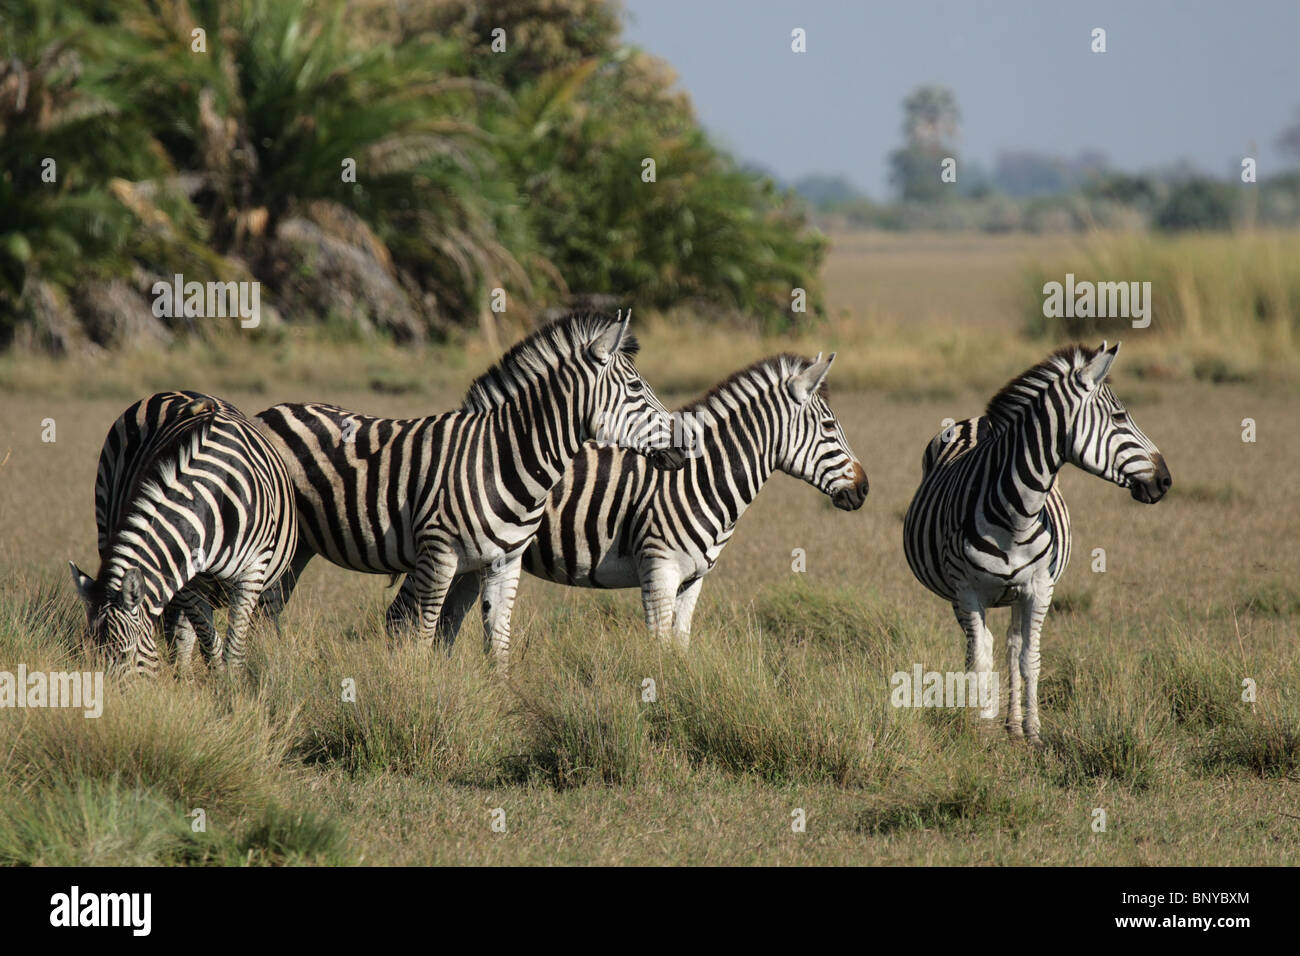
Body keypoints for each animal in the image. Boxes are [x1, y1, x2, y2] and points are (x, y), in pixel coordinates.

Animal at [70, 392, 297, 676]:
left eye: (125, 654)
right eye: (93, 655)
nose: (107, 688)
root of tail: (171, 392)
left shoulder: (253, 570)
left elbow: (234, 647)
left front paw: (232, 684)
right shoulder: (188, 579)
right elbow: (207, 640)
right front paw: (216, 679)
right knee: (182, 635)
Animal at [246, 310, 686, 660]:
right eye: (635, 388)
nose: (682, 450)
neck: (506, 460)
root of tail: (270, 410)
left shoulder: (505, 562)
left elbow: (498, 641)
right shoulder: (438, 557)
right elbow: (423, 636)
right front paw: (416, 696)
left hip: (302, 544)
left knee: (270, 608)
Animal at [390, 351, 868, 650]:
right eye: (829, 427)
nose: (864, 490)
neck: (702, 478)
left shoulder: (694, 580)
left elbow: (680, 647)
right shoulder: (659, 570)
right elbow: (658, 648)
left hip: (476, 561)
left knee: (446, 623)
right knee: (404, 616)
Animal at [904, 343, 1170, 738]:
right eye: (1120, 417)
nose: (1165, 480)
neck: (1017, 513)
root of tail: (975, 420)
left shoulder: (1039, 588)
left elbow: (1029, 658)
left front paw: (1032, 729)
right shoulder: (967, 590)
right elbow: (979, 660)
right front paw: (979, 728)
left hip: (1015, 593)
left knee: (1011, 645)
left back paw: (1013, 723)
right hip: (956, 592)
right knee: (978, 647)